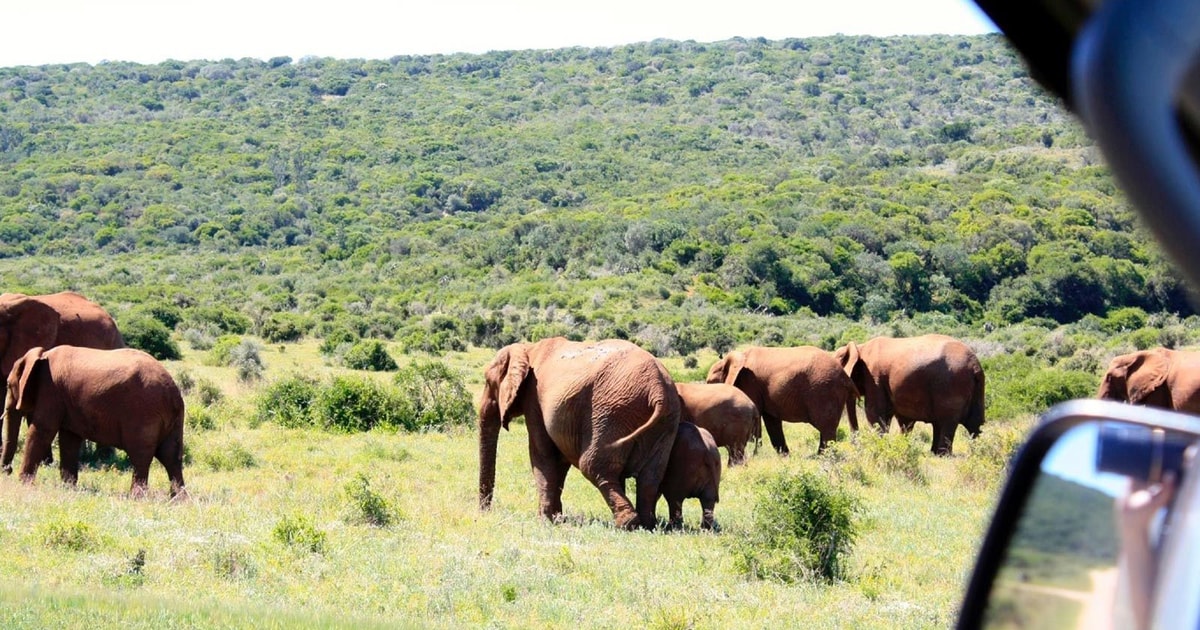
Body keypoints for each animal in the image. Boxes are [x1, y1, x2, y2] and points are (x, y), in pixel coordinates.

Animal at [1, 343, 184, 496]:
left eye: (8, 385)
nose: (7, 471)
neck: (41, 355)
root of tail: (174, 393)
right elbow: (69, 439)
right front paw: (68, 488)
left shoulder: (50, 391)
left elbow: (42, 430)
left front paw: (24, 484)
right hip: (171, 418)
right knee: (171, 455)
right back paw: (178, 499)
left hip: (143, 414)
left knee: (141, 455)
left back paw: (136, 497)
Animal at [480, 336, 686, 528]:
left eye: (488, 382)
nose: (485, 512)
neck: (527, 349)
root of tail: (657, 391)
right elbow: (559, 461)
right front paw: (557, 518)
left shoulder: (534, 399)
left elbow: (542, 454)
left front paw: (545, 521)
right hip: (665, 422)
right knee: (650, 477)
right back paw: (647, 524)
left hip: (610, 413)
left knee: (592, 466)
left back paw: (627, 524)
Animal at [700, 345, 864, 453]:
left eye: (710, 382)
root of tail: (845, 376)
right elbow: (771, 421)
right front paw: (783, 456)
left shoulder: (749, 383)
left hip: (825, 391)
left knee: (827, 428)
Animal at [835, 336, 984, 453]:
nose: (856, 445)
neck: (860, 347)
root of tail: (975, 366)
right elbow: (903, 418)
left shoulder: (874, 378)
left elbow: (874, 413)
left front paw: (878, 446)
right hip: (975, 387)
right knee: (974, 423)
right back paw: (974, 453)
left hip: (951, 385)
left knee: (947, 421)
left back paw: (942, 455)